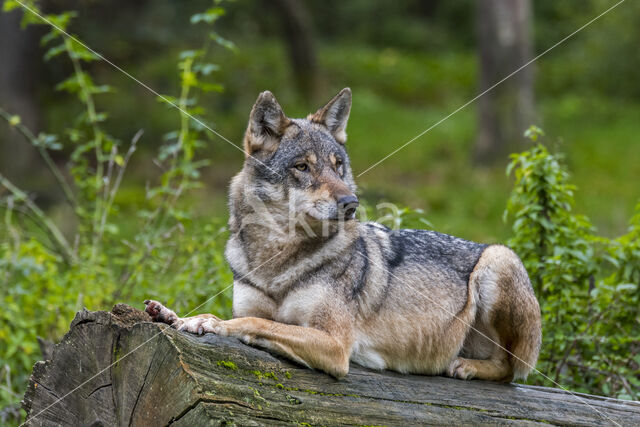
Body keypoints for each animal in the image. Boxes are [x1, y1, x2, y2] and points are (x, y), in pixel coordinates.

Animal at [148, 88, 544, 382]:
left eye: (338, 166)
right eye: (302, 167)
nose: (350, 203)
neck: (277, 262)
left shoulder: (336, 346)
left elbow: (251, 322)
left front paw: (205, 322)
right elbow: (248, 316)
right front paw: (172, 314)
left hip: (499, 258)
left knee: (511, 371)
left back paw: (464, 366)